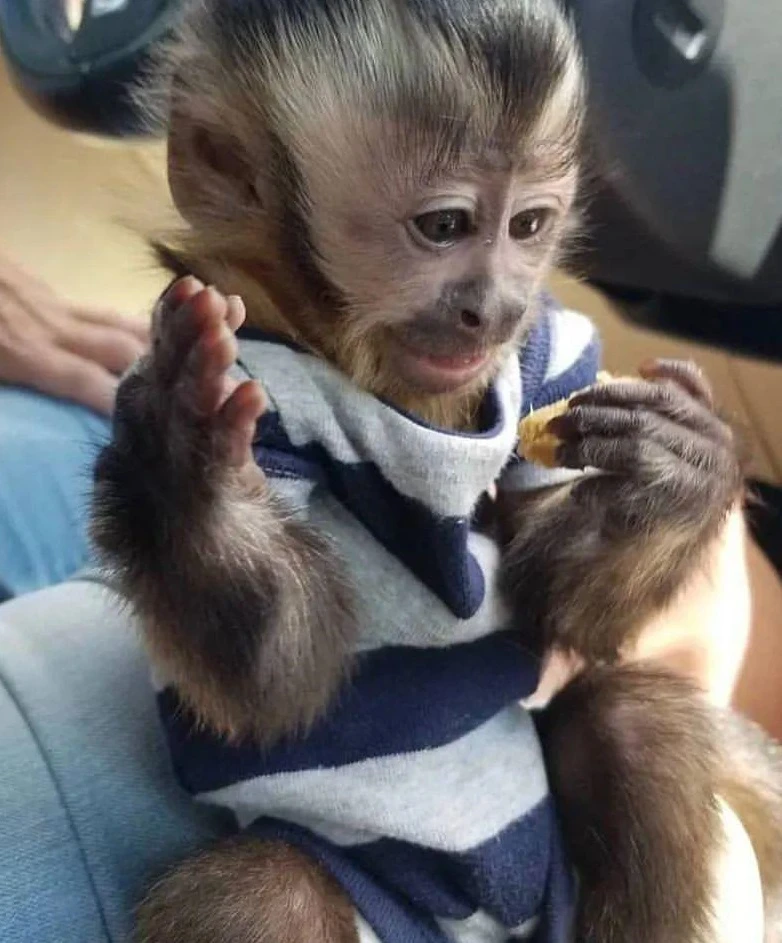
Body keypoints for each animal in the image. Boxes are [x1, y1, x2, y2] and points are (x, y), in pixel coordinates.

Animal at [88, 1, 782, 942]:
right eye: (445, 227)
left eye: (528, 227)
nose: (493, 308)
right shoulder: (256, 373)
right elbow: (276, 674)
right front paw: (178, 458)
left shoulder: (551, 353)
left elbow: (551, 596)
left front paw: (681, 467)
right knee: (266, 896)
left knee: (632, 720)